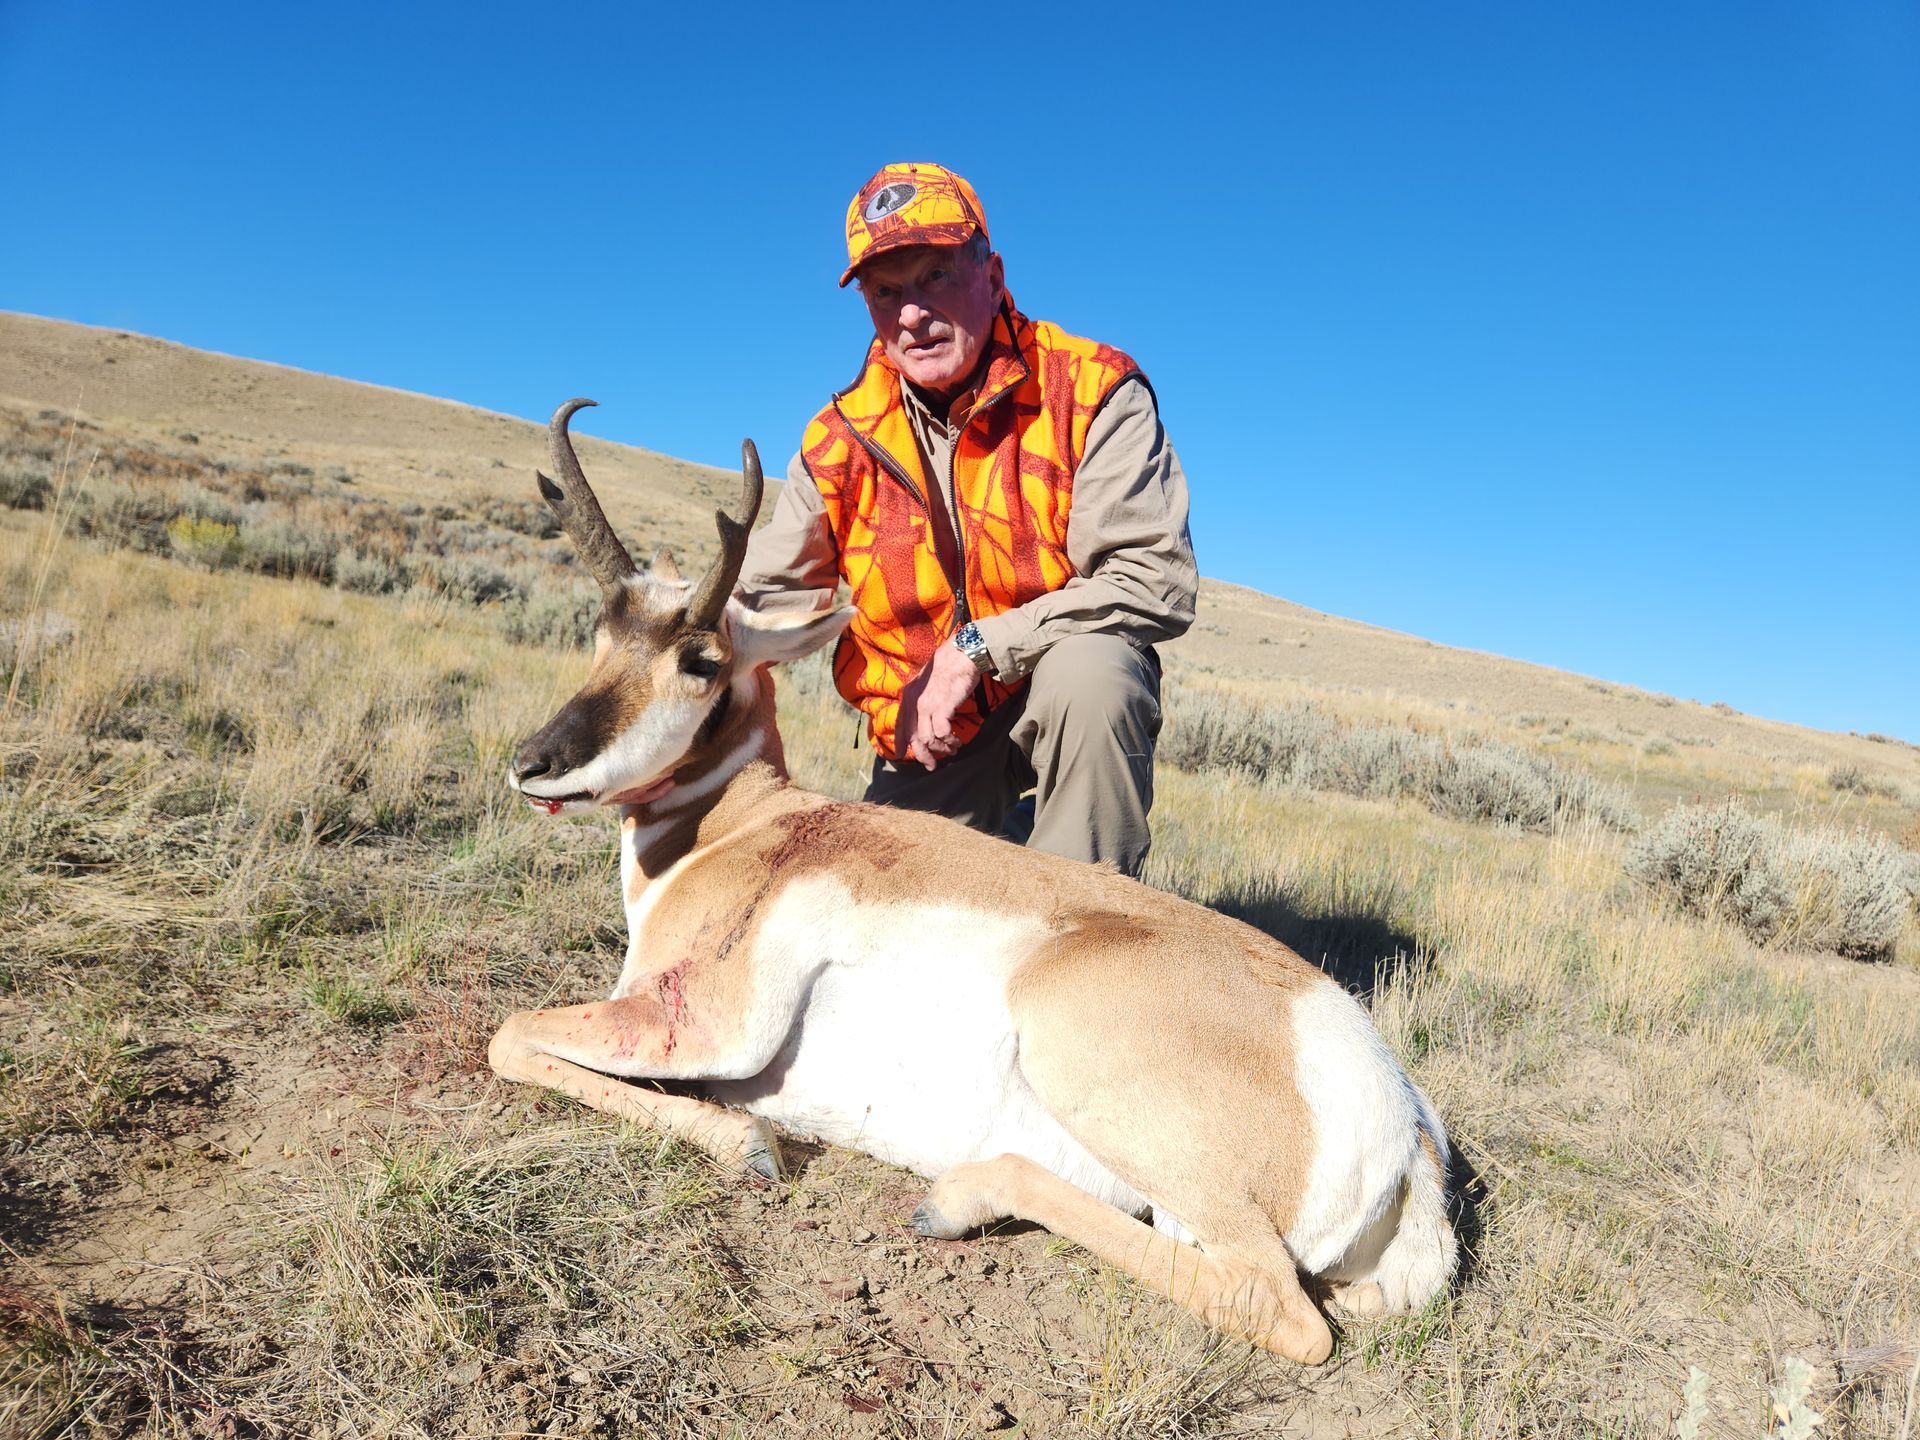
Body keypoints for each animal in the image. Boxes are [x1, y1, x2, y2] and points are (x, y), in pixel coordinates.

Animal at [487, 399, 1457, 1362]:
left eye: (701, 659)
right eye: (602, 634)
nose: (534, 764)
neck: (752, 827)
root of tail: (1405, 1132)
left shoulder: (693, 1031)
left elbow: (510, 1035)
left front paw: (748, 1144)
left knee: (1281, 1309)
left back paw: (952, 1199)